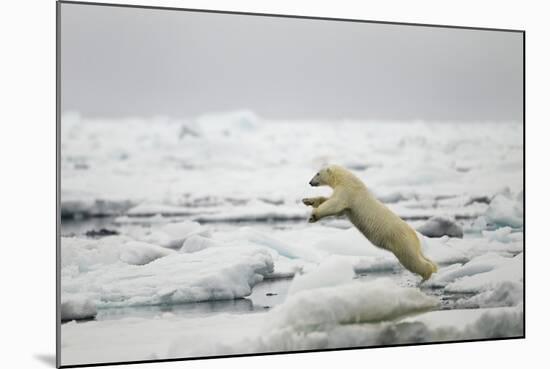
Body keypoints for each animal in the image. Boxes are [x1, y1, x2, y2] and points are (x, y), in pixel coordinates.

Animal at [304, 165, 438, 280]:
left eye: (317, 173)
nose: (310, 182)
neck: (347, 180)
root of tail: (415, 237)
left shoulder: (348, 192)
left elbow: (334, 204)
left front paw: (312, 216)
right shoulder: (347, 201)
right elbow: (336, 208)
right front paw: (307, 200)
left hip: (401, 242)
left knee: (412, 261)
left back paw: (426, 277)